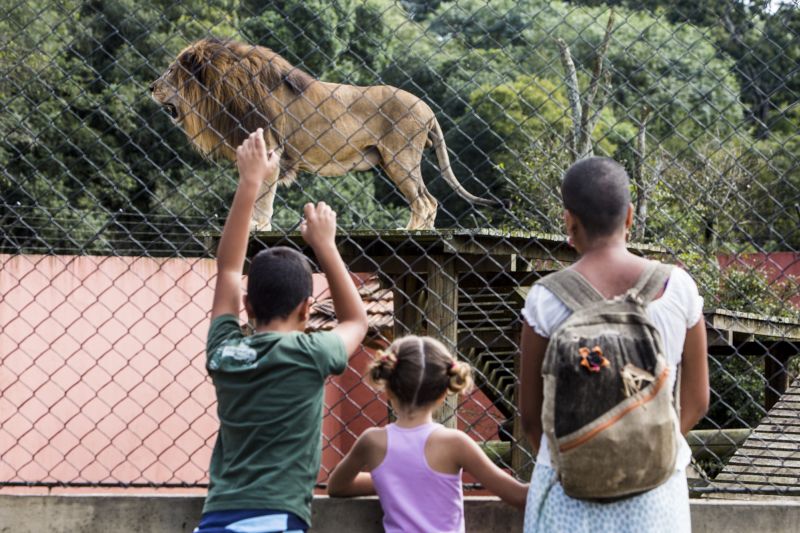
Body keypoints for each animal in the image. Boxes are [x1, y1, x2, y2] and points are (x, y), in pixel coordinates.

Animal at [150, 38, 502, 230]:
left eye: (170, 71)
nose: (151, 87)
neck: (222, 93)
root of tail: (428, 108)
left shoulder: (270, 150)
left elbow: (263, 197)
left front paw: (258, 226)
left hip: (400, 158)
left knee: (426, 200)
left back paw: (411, 231)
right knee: (427, 199)